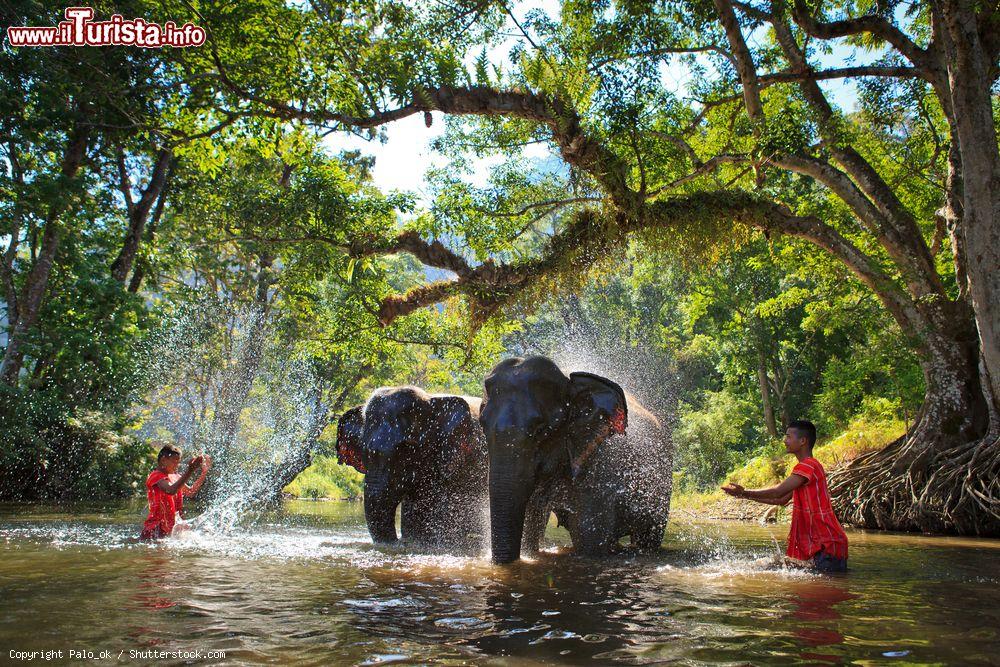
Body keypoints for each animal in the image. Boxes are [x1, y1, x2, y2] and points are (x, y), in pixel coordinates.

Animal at [482, 354, 676, 564]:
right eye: (482, 425)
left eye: (541, 430)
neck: (569, 382)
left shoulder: (599, 469)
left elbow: (589, 542)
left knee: (648, 538)